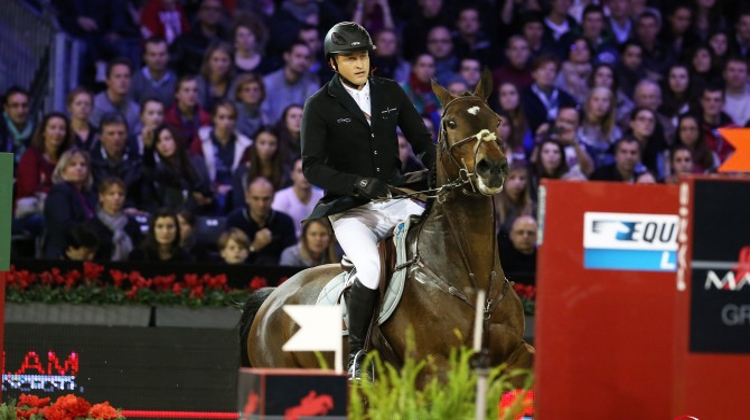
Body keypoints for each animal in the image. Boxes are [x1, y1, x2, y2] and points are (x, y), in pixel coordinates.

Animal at [241, 69, 536, 388]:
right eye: (451, 123)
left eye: (497, 120)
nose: (492, 168)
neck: (473, 278)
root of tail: (273, 297)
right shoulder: (434, 367)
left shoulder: (515, 355)